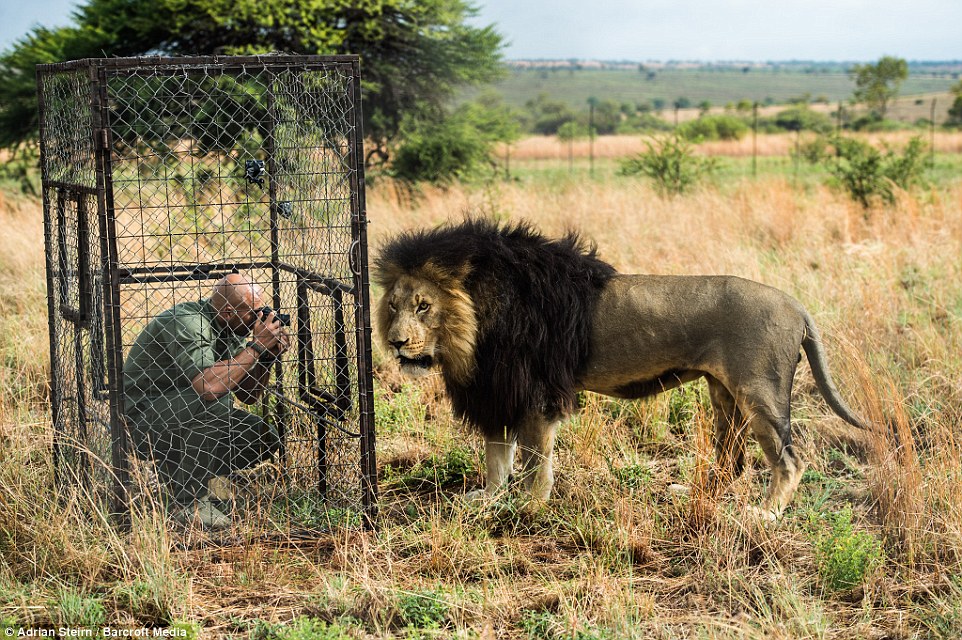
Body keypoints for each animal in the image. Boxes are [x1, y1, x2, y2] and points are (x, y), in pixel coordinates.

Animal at [372, 218, 868, 516]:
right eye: (393, 306)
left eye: (423, 306)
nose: (396, 343)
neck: (472, 327)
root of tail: (796, 306)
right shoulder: (496, 391)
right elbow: (498, 456)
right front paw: (489, 499)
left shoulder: (534, 393)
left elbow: (534, 461)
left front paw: (532, 506)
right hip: (723, 393)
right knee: (731, 459)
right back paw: (696, 495)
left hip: (758, 391)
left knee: (789, 460)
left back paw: (763, 514)